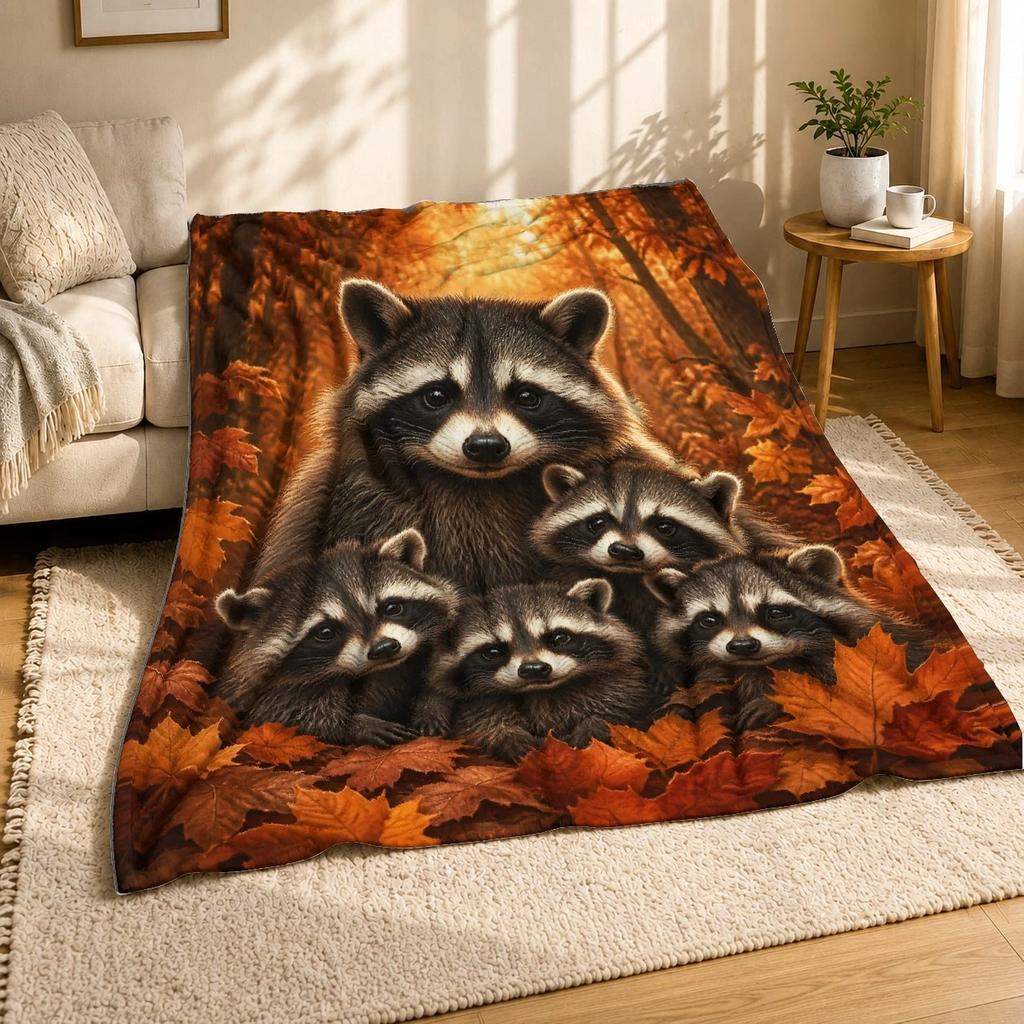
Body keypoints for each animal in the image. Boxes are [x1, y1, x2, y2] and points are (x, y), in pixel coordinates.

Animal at [215, 529, 458, 747]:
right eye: (325, 632)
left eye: (392, 607)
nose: (385, 648)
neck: (383, 672)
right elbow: (280, 715)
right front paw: (351, 725)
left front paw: (431, 701)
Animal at [416, 578, 651, 761]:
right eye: (493, 652)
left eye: (559, 638)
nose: (534, 669)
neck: (540, 691)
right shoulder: (476, 703)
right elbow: (477, 723)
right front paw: (504, 734)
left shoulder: (619, 681)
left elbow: (620, 703)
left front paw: (595, 725)